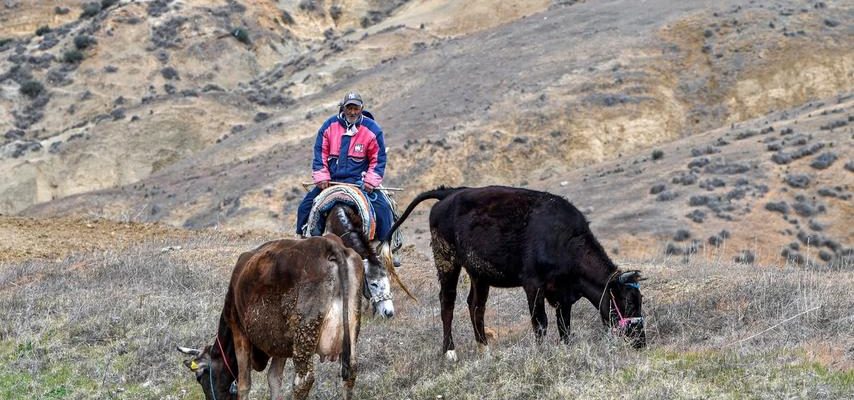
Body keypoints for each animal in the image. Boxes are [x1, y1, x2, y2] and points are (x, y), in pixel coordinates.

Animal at [179, 234, 366, 400]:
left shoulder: (239, 330)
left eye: (199, 378)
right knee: (349, 372)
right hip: (352, 327)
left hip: (304, 334)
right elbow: (274, 379)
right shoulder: (280, 342)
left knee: (303, 381)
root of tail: (330, 245)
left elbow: (244, 384)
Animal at [384, 186, 644, 360]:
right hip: (446, 259)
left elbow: (564, 326)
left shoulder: (562, 294)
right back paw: (450, 351)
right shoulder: (533, 285)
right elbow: (540, 323)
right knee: (447, 303)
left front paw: (566, 349)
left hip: (479, 273)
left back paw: (484, 348)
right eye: (628, 303)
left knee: (475, 305)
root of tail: (449, 193)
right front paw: (542, 353)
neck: (564, 240)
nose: (640, 341)